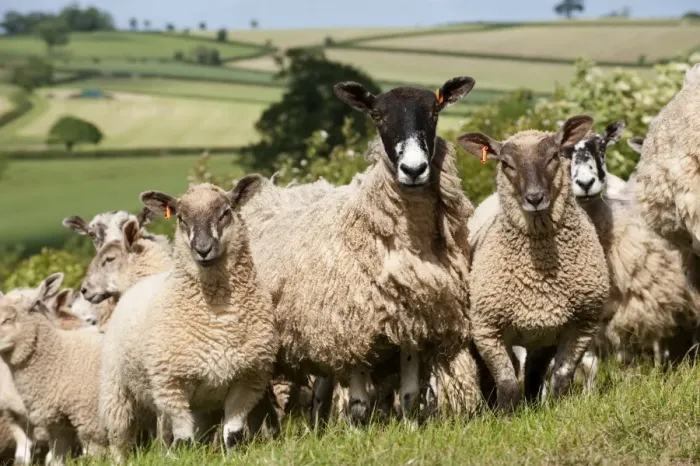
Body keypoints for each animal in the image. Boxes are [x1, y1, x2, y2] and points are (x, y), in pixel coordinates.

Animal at [99, 182, 278, 462]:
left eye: (226, 212)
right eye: (181, 218)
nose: (203, 249)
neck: (218, 316)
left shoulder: (248, 379)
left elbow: (233, 434)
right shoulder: (171, 385)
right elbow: (183, 440)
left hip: (201, 402)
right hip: (116, 389)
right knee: (120, 438)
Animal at [236, 77, 477, 425]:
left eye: (435, 111)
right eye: (377, 116)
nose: (414, 169)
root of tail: (275, 192)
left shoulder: (412, 322)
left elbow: (409, 395)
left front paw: (410, 429)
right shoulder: (355, 326)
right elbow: (360, 405)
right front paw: (357, 431)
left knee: (321, 390)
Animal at [456, 115, 610, 411]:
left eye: (554, 156)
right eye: (506, 164)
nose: (535, 198)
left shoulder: (583, 324)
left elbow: (562, 376)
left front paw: (559, 408)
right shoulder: (487, 329)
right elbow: (506, 382)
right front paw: (504, 414)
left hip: (543, 335)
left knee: (534, 372)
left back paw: (534, 404)